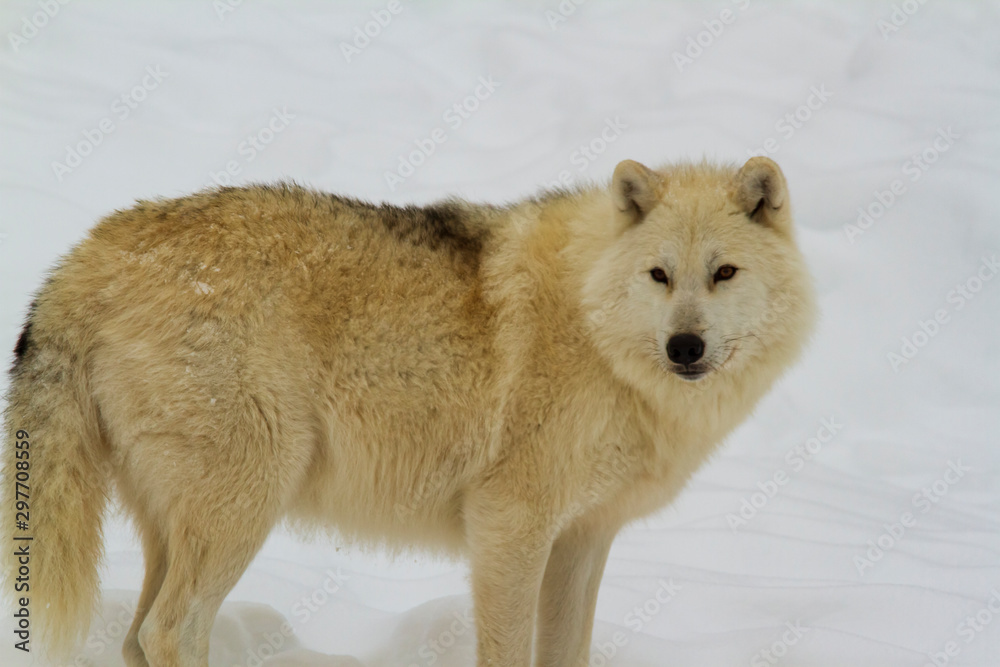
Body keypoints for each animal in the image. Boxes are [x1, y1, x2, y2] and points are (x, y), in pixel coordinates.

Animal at [1, 156, 815, 667]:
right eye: (659, 274)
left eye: (723, 272)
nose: (685, 346)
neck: (594, 327)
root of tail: (86, 256)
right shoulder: (508, 526)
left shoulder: (583, 540)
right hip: (245, 505)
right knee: (170, 632)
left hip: (178, 523)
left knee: (137, 637)